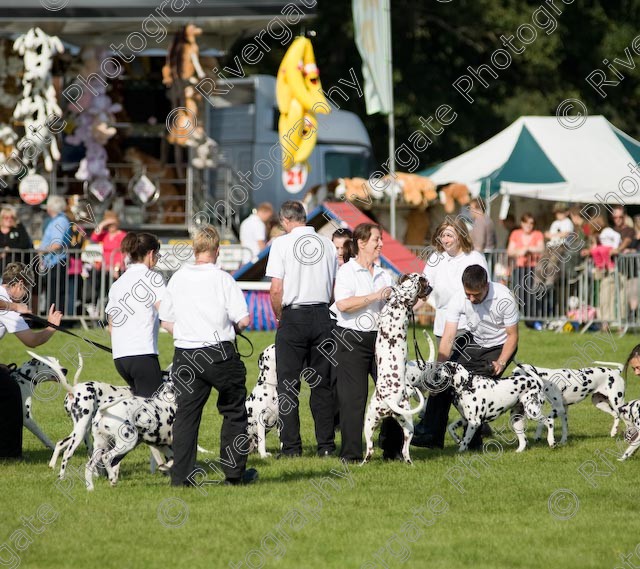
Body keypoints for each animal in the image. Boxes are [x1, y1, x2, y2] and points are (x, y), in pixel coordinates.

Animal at [362, 272, 432, 464]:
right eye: (425, 282)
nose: (431, 288)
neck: (400, 301)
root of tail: (390, 401)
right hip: (404, 424)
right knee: (403, 450)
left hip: (371, 424)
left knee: (371, 449)